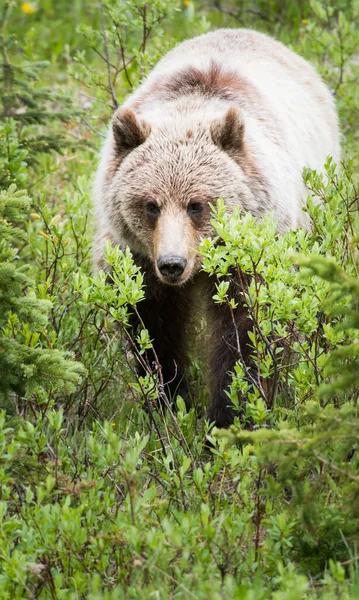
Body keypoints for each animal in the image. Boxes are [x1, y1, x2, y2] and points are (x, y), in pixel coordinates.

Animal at [93, 29, 340, 426]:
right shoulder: (136, 259)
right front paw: (168, 401)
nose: (173, 264)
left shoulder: (254, 252)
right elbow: (152, 329)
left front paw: (230, 414)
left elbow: (248, 333)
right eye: (151, 205)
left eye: (196, 205)